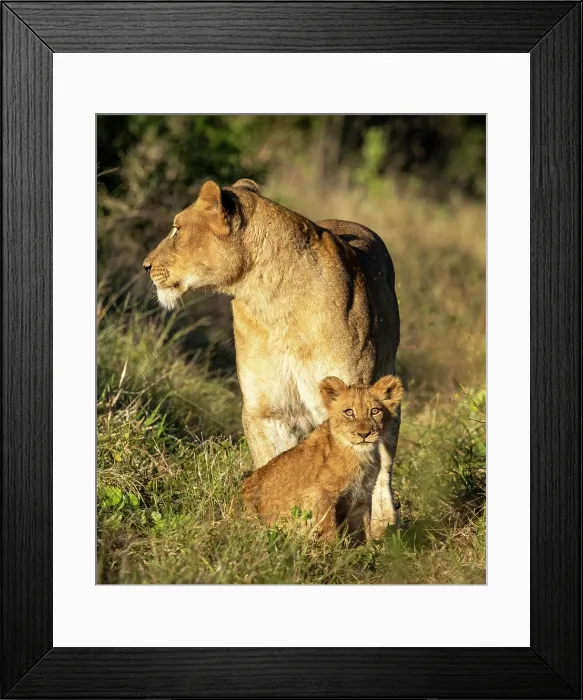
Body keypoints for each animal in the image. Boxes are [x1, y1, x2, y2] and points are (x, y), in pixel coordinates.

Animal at [241, 375, 403, 540]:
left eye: (375, 411)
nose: (364, 434)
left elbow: (363, 531)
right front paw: (333, 546)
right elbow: (328, 528)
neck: (360, 457)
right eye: (349, 412)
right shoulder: (321, 495)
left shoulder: (362, 498)